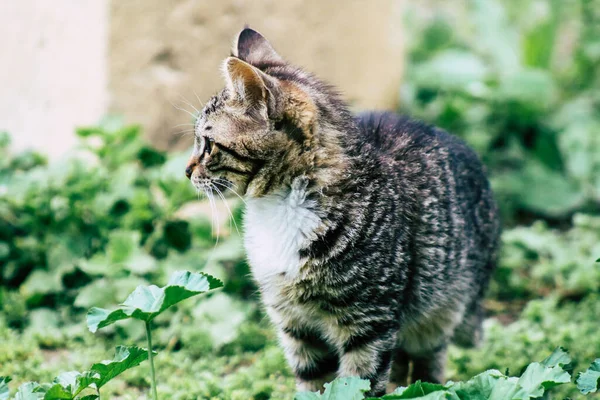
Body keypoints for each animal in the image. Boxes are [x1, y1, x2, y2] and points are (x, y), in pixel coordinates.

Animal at [184, 28, 502, 396]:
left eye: (208, 145)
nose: (186, 171)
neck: (279, 208)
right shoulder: (293, 322)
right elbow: (312, 382)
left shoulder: (371, 322)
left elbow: (360, 382)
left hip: (439, 309)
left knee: (426, 370)